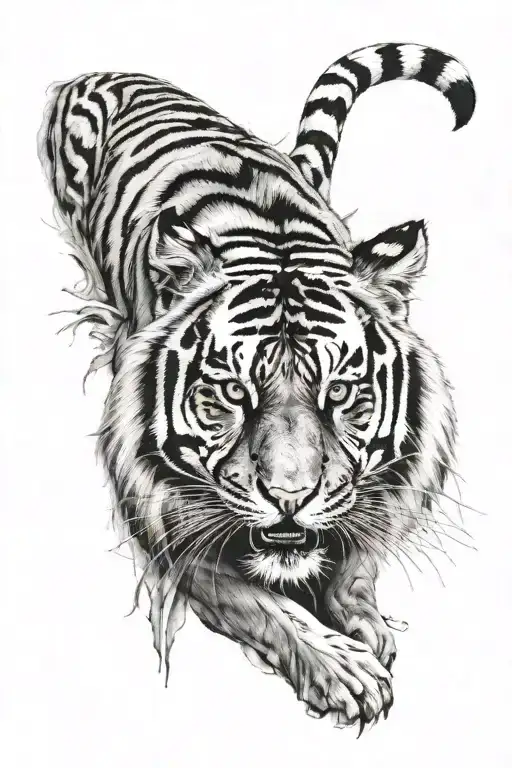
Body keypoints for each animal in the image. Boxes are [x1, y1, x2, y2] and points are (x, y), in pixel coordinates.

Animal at [38, 42, 475, 730]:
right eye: (232, 393)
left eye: (340, 393)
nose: (289, 499)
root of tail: (94, 71)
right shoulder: (177, 531)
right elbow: (268, 607)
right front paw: (347, 672)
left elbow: (357, 561)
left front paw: (368, 627)